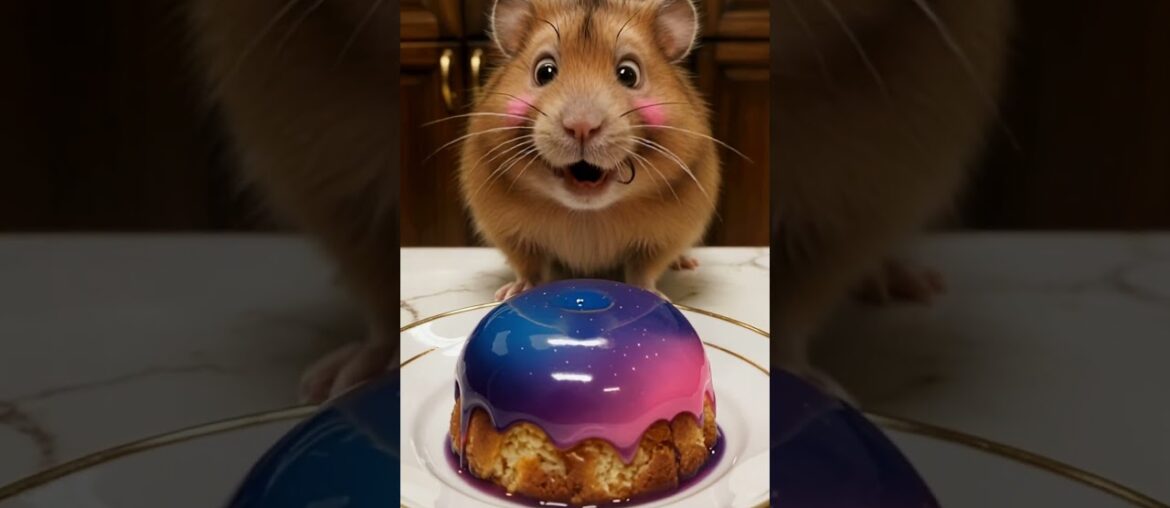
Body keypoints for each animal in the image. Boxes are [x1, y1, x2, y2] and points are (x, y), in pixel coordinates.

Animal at [457, 0, 721, 301]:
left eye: (628, 74)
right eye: (544, 72)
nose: (581, 126)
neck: (586, 213)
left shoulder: (667, 235)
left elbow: (643, 270)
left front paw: (655, 295)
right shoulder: (509, 231)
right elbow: (528, 265)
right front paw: (511, 293)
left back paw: (686, 263)